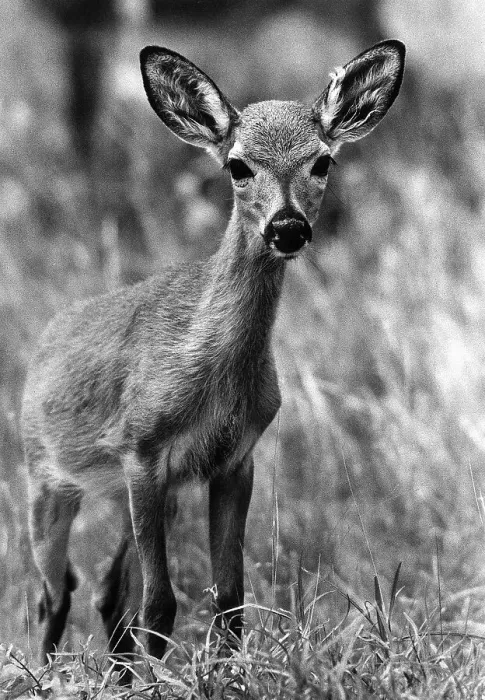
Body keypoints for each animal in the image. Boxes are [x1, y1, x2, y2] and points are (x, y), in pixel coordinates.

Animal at [22, 40, 405, 675]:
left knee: (103, 590)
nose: (287, 227)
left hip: (142, 494)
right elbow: (160, 604)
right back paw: (50, 673)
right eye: (238, 166)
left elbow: (229, 598)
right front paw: (162, 680)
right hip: (45, 478)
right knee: (55, 593)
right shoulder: (142, 451)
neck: (211, 374)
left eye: (323, 161)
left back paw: (114, 674)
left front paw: (225, 674)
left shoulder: (234, 460)